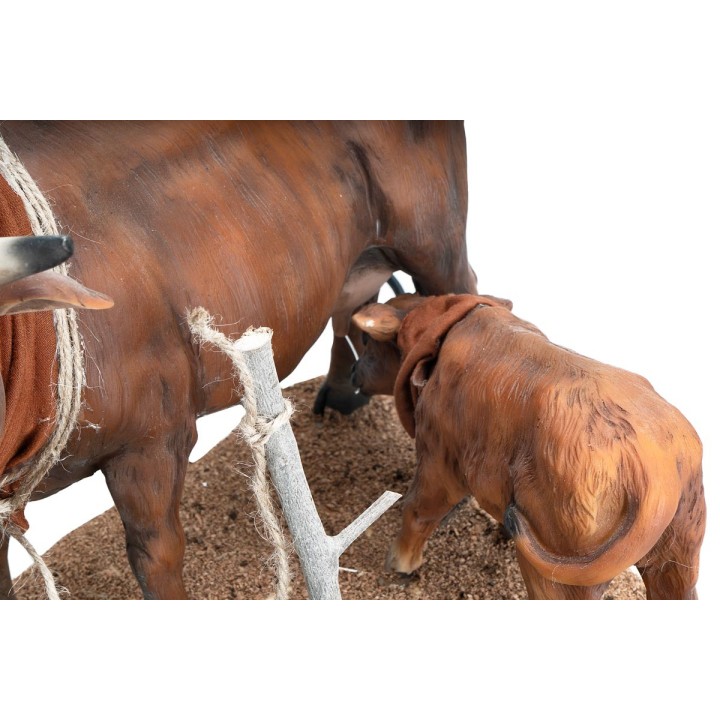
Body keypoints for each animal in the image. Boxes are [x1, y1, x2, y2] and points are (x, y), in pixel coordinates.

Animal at [0, 120, 477, 599]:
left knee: (462, 294)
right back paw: (344, 394)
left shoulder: (155, 438)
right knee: (354, 303)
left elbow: (155, 554)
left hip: (435, 240)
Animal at [350, 293, 705, 599]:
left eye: (367, 342)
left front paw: (400, 564)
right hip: (680, 554)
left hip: (560, 575)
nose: (353, 374)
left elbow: (417, 510)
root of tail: (657, 469)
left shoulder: (439, 458)